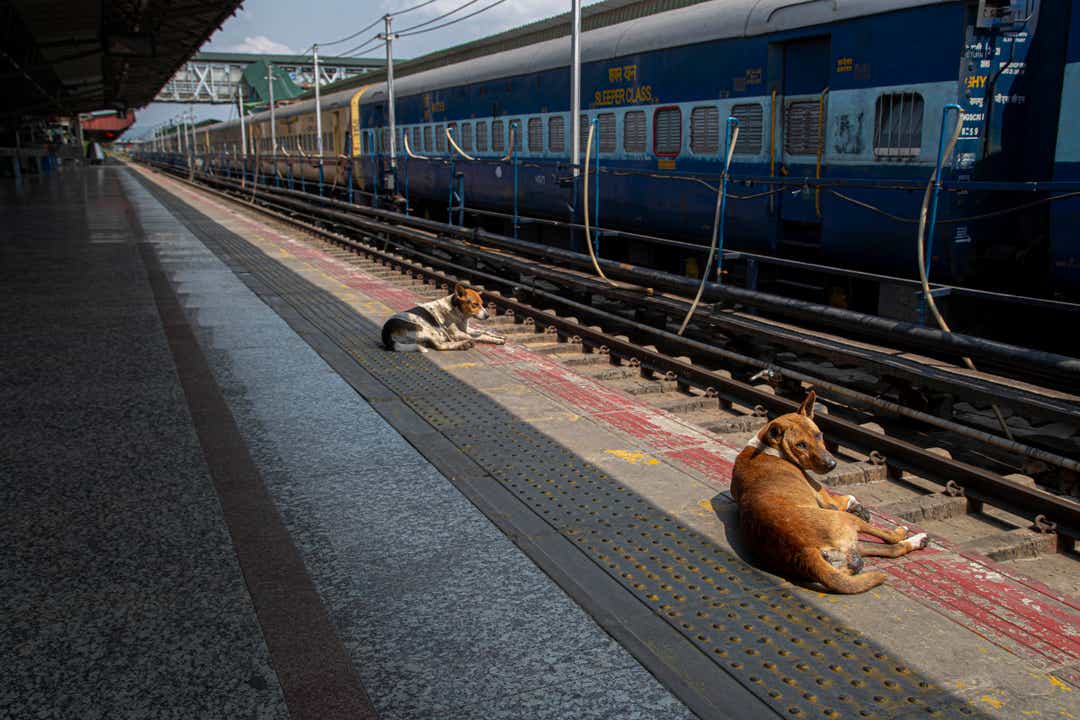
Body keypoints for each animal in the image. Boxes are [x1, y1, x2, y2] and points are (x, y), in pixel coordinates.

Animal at [730, 390, 933, 595]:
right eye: (800, 445)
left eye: (818, 435)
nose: (832, 464)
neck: (767, 446)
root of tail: (803, 551)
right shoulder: (824, 496)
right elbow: (845, 497)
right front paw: (857, 506)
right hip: (847, 521)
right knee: (891, 539)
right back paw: (904, 532)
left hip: (853, 548)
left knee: (887, 552)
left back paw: (915, 542)